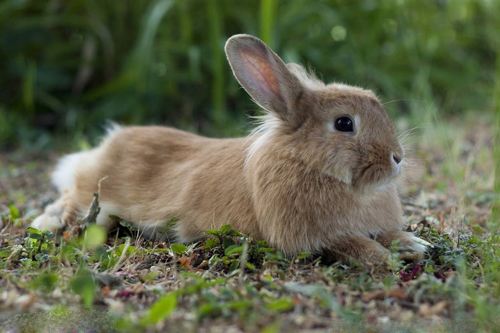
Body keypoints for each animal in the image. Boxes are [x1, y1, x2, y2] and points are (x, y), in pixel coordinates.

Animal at [32, 33, 430, 266]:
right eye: (344, 124)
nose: (397, 158)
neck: (309, 164)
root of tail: (105, 145)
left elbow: (387, 234)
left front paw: (415, 244)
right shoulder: (314, 237)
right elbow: (352, 245)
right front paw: (385, 259)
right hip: (94, 198)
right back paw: (45, 221)